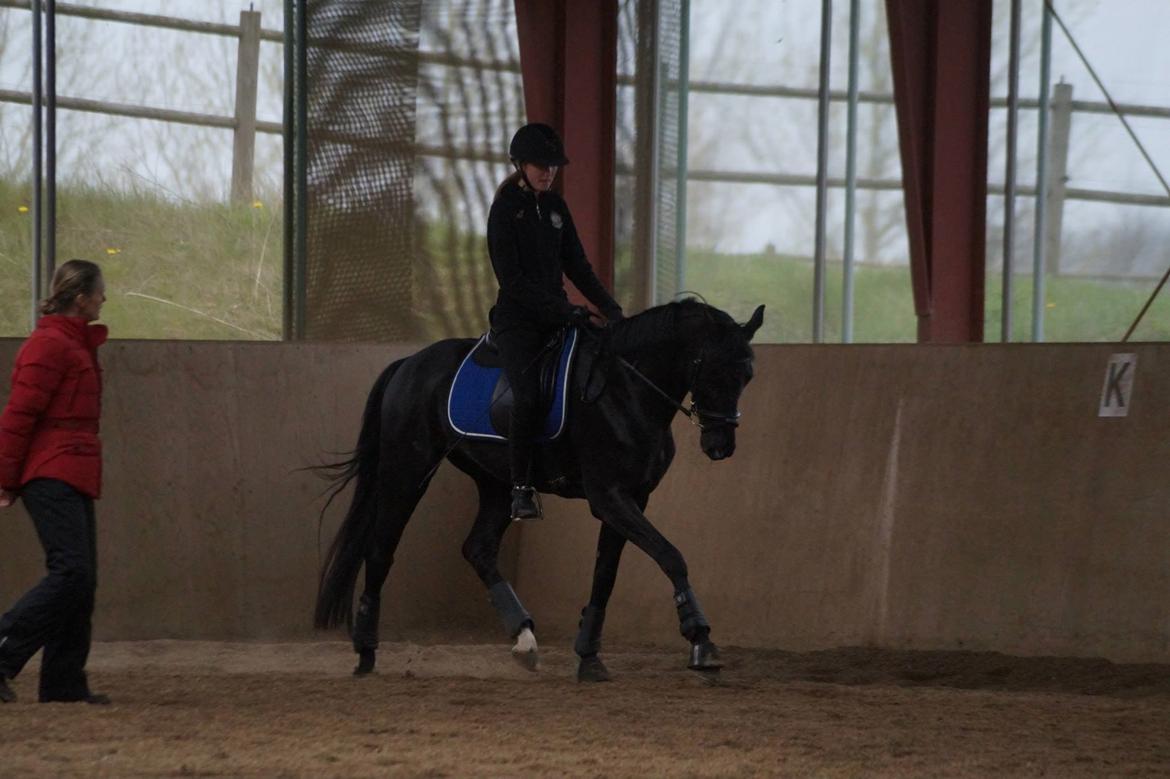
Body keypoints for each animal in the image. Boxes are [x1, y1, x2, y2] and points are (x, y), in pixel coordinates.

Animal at [315, 297, 762, 678]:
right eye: (711, 368)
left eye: (747, 375)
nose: (720, 446)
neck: (626, 390)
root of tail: (409, 363)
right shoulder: (609, 496)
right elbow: (670, 556)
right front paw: (701, 639)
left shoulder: (632, 497)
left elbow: (606, 574)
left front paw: (589, 656)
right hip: (408, 472)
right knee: (380, 550)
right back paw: (366, 650)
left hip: (496, 483)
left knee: (477, 548)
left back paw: (525, 640)